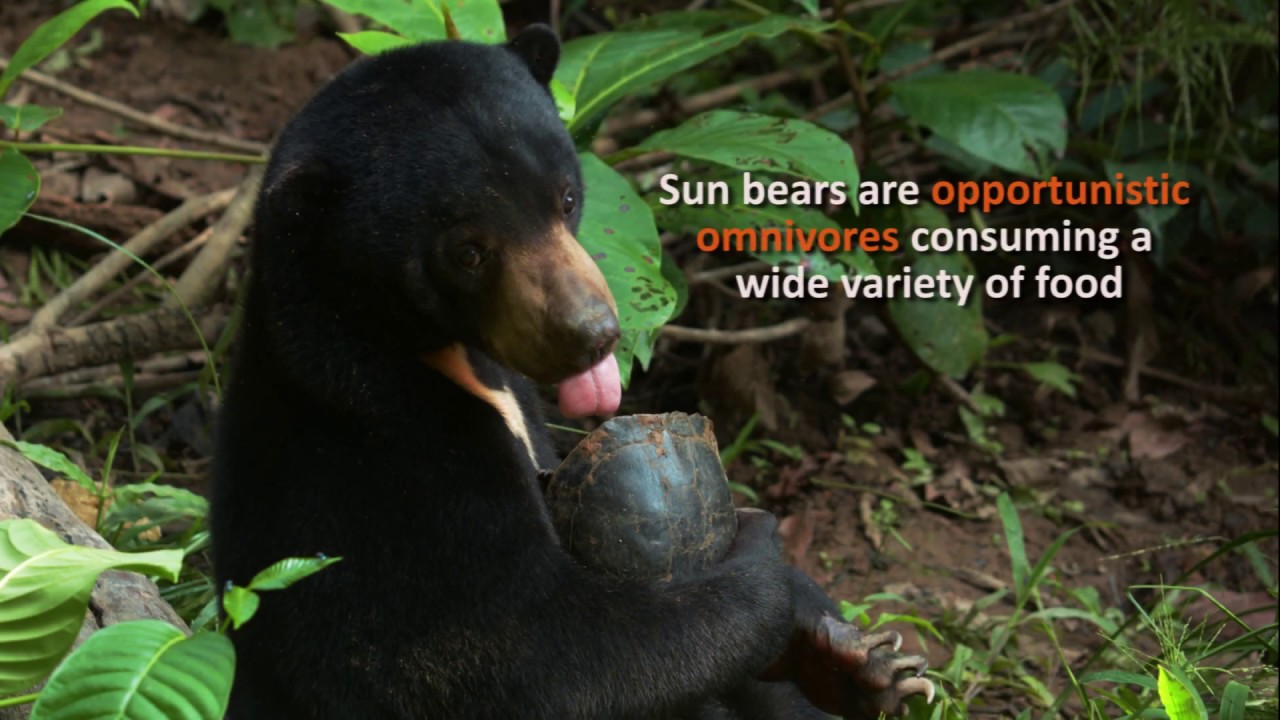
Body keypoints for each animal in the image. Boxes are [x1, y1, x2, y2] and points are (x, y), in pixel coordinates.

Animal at [211, 24, 932, 720]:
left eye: (565, 197)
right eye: (467, 251)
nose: (593, 334)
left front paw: (856, 656)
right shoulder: (388, 474)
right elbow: (539, 656)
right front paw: (765, 561)